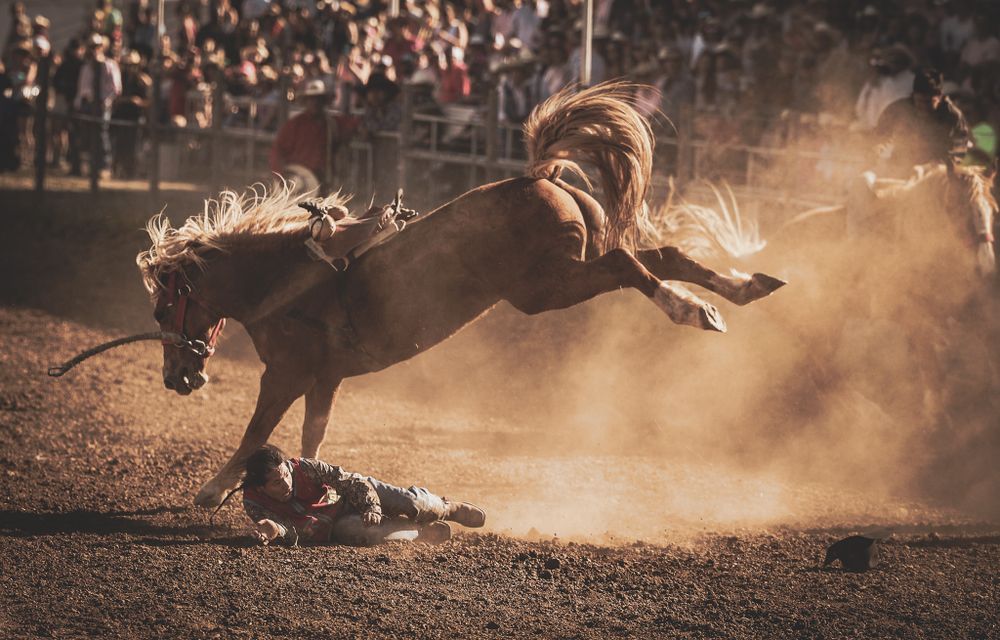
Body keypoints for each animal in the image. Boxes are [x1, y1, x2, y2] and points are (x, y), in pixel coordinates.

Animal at [135, 82, 787, 508]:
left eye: (163, 307)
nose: (177, 378)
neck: (284, 281)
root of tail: (540, 177)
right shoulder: (326, 378)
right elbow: (310, 437)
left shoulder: (286, 374)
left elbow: (255, 434)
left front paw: (212, 490)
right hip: (568, 270)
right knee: (662, 257)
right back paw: (741, 289)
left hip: (549, 285)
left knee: (630, 266)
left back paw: (693, 309)